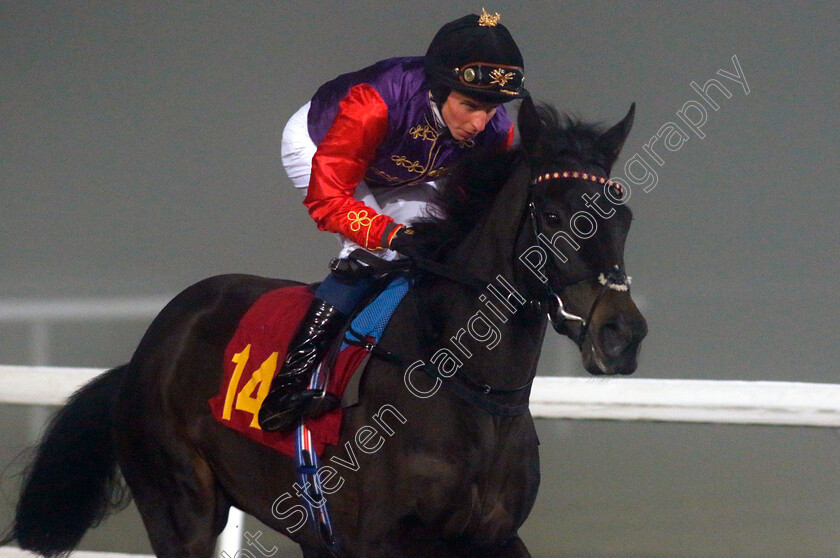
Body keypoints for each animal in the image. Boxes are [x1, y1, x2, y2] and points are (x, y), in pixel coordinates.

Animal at [1, 98, 648, 556]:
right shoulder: (380, 540)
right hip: (179, 507)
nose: (622, 334)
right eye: (556, 215)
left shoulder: (491, 537)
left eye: (624, 216)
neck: (465, 385)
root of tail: (144, 355)